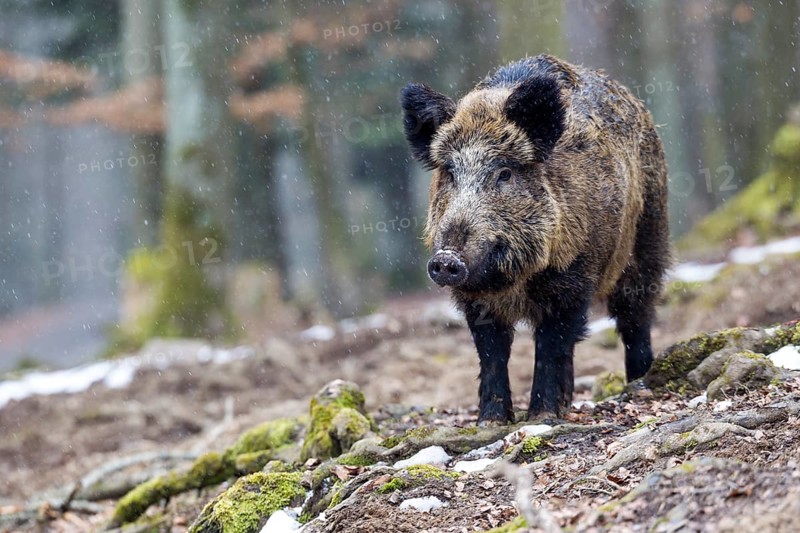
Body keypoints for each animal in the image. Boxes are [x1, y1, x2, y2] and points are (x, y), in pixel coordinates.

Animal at [400, 55, 670, 424]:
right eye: (450, 173)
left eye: (504, 173)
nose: (446, 259)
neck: (513, 279)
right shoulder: (475, 300)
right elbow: (492, 352)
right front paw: (491, 420)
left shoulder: (571, 278)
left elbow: (551, 343)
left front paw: (542, 416)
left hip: (649, 237)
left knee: (635, 315)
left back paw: (639, 383)